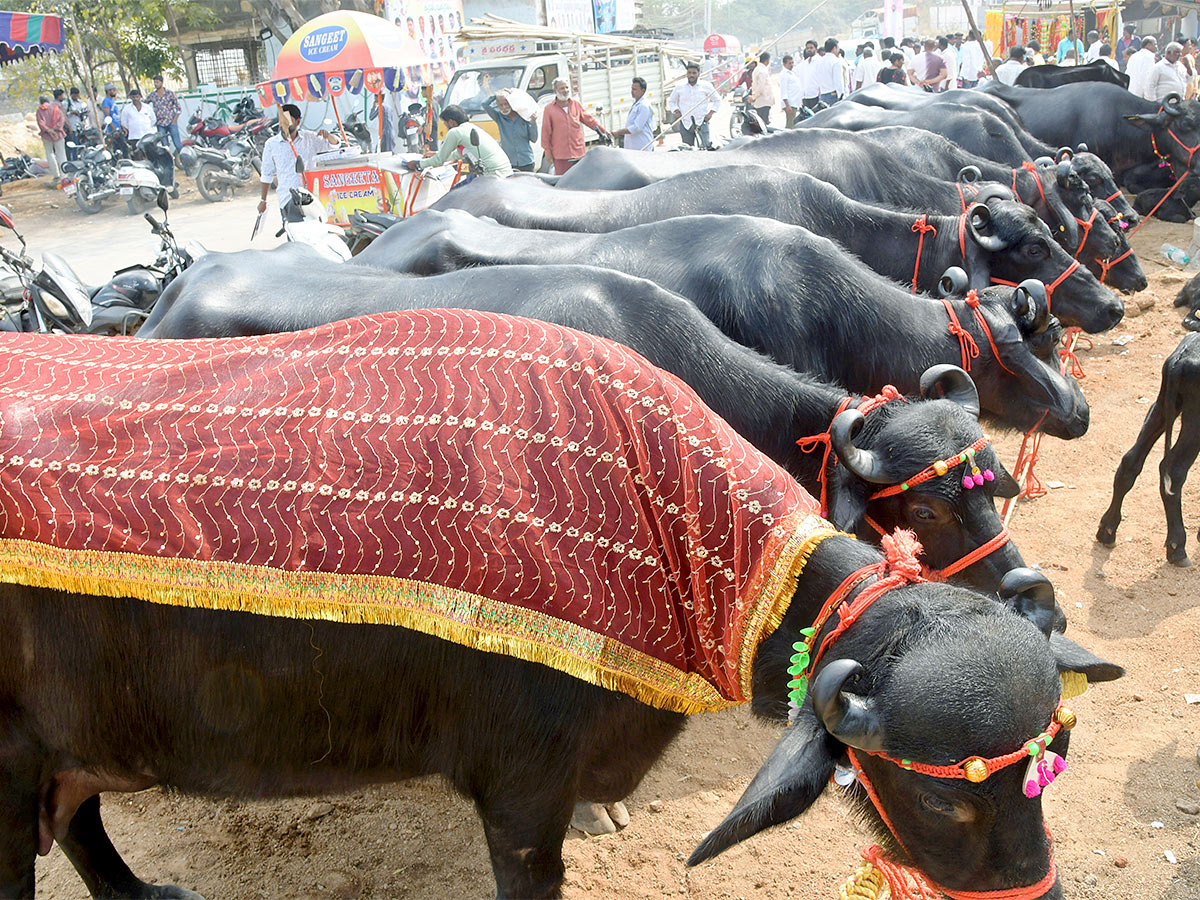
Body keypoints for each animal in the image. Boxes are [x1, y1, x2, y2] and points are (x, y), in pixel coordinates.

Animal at [0, 312, 1104, 900]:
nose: (1024, 591)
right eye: (943, 796)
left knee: (85, 820)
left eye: (1052, 756)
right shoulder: (520, 793)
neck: (658, 515)